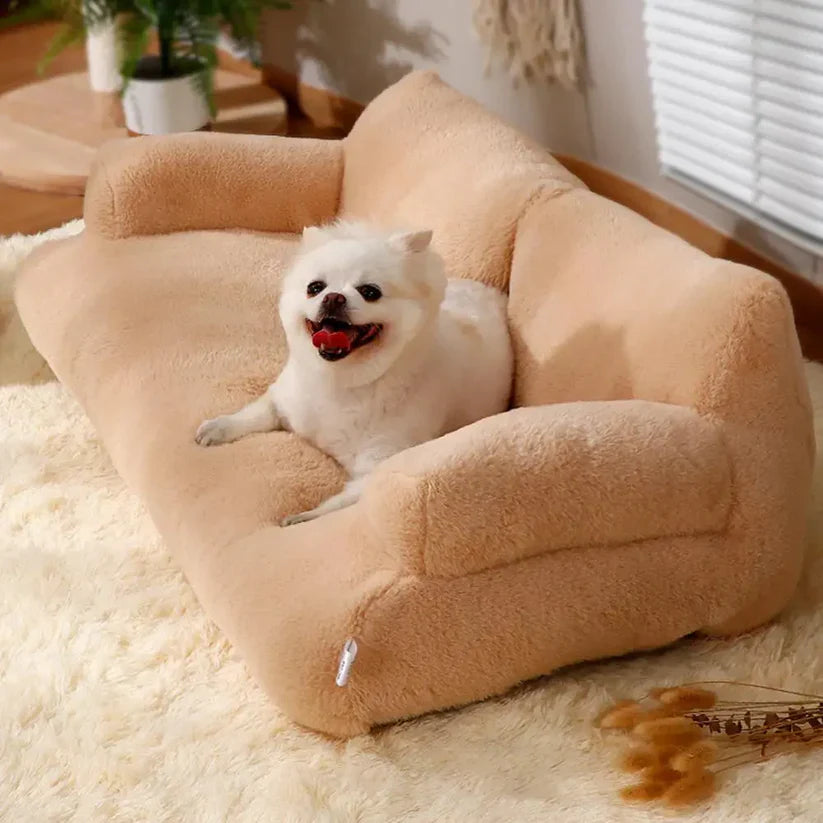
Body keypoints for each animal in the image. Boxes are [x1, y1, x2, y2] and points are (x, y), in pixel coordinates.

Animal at [196, 222, 512, 524]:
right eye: (315, 287)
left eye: (370, 292)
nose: (334, 297)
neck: (339, 382)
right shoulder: (285, 402)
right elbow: (253, 413)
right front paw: (218, 427)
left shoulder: (377, 463)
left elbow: (338, 504)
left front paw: (302, 517)